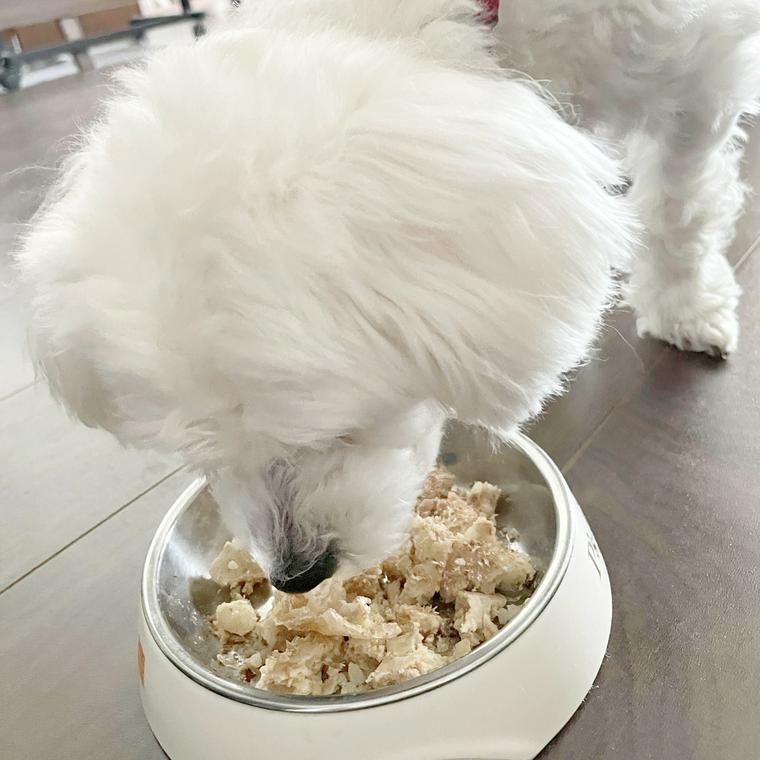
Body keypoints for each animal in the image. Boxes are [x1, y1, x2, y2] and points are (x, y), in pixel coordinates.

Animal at [16, 0, 760, 592]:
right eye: (203, 456)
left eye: (334, 428)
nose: (297, 577)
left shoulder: (700, 69)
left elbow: (684, 202)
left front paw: (686, 304)